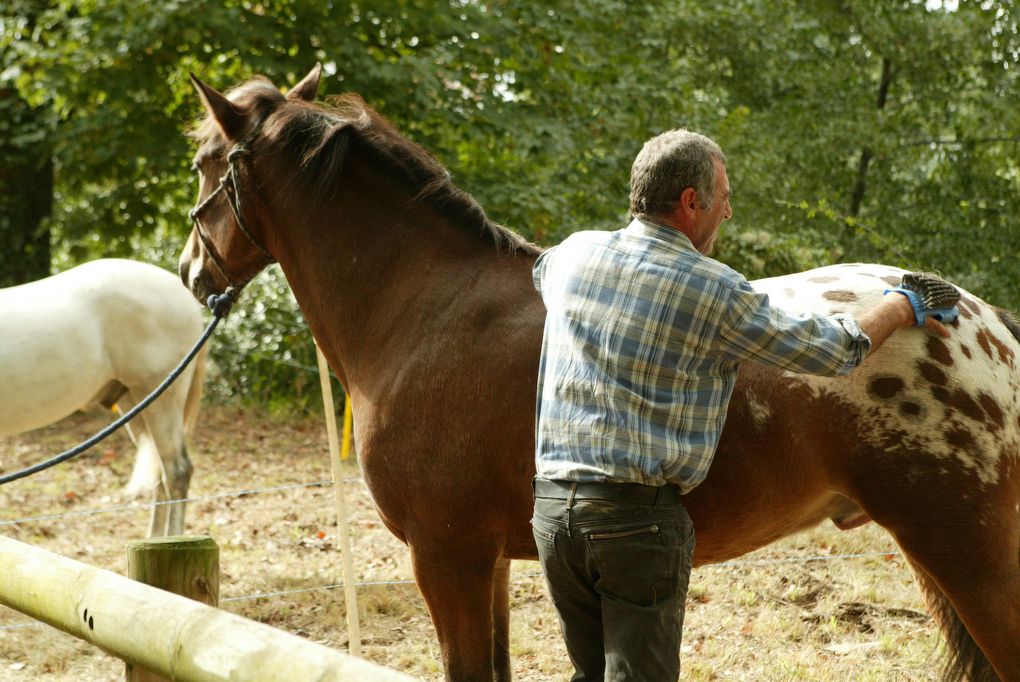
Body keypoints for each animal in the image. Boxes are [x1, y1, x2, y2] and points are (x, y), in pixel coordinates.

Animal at [179, 65, 1020, 680]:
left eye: (203, 164)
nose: (191, 270)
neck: (420, 308)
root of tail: (985, 326)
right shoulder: (488, 563)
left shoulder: (446, 557)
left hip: (968, 552)